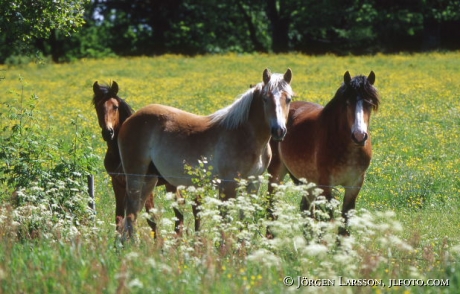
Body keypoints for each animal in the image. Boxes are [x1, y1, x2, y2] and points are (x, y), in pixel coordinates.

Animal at [92, 81, 179, 233]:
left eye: (115, 107)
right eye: (98, 106)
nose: (108, 133)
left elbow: (151, 219)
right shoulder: (118, 184)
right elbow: (119, 217)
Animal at [117, 69, 292, 239]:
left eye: (289, 99)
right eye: (265, 99)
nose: (279, 131)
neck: (244, 134)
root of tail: (130, 119)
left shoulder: (253, 184)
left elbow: (244, 221)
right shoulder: (228, 185)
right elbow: (225, 222)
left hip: (149, 178)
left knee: (134, 212)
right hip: (135, 175)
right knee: (131, 212)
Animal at [268, 72, 380, 237]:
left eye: (370, 103)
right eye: (347, 103)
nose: (359, 136)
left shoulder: (354, 185)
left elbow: (345, 223)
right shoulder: (326, 185)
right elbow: (327, 220)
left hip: (308, 181)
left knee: (306, 209)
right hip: (276, 173)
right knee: (273, 206)